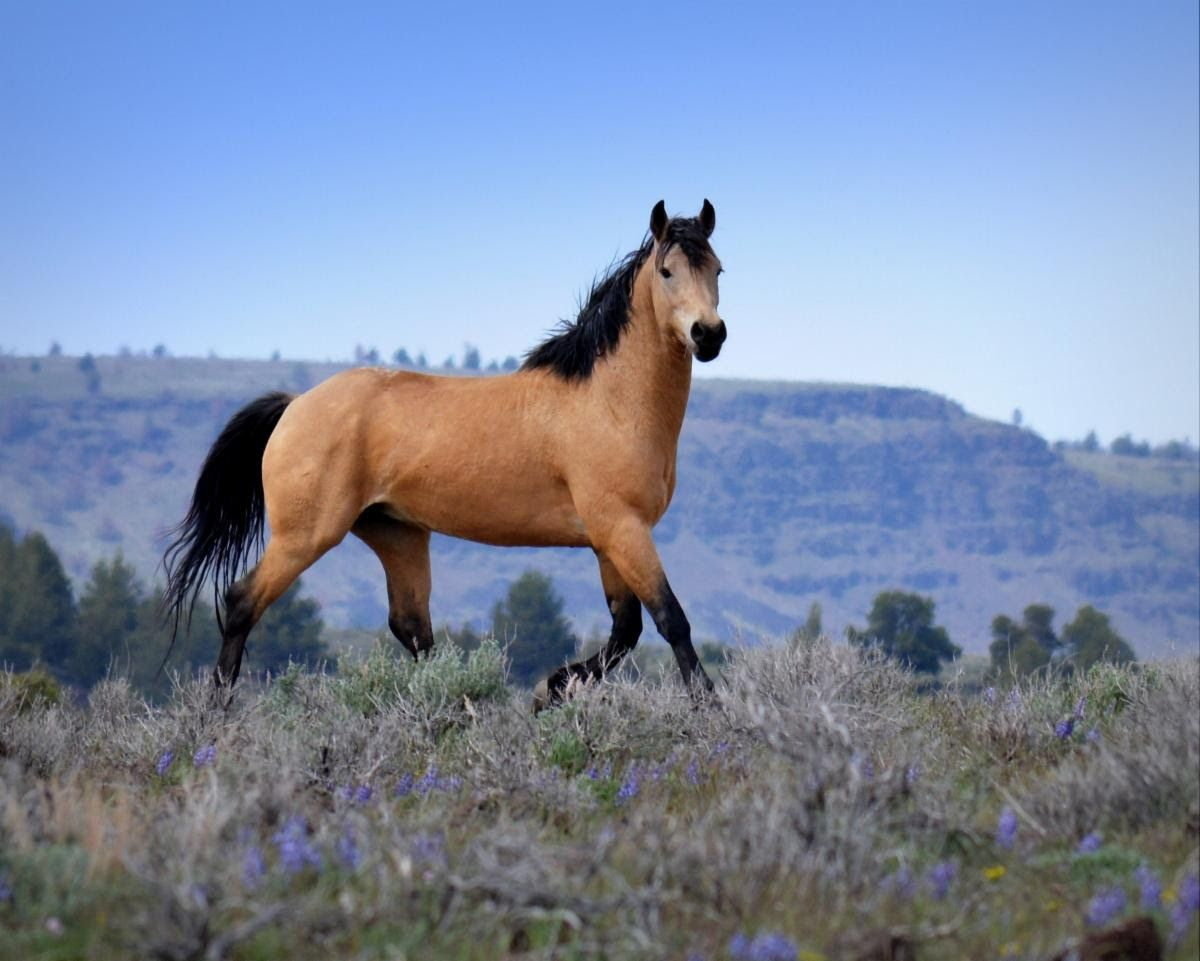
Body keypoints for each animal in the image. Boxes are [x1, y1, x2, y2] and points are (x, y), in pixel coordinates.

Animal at [163, 196, 724, 705]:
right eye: (667, 271)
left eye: (717, 269)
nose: (709, 334)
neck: (607, 400)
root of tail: (295, 404)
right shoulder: (622, 528)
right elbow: (670, 619)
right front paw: (706, 703)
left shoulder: (609, 540)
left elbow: (625, 630)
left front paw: (554, 688)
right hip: (305, 536)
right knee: (242, 602)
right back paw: (213, 712)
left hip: (397, 535)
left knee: (414, 631)